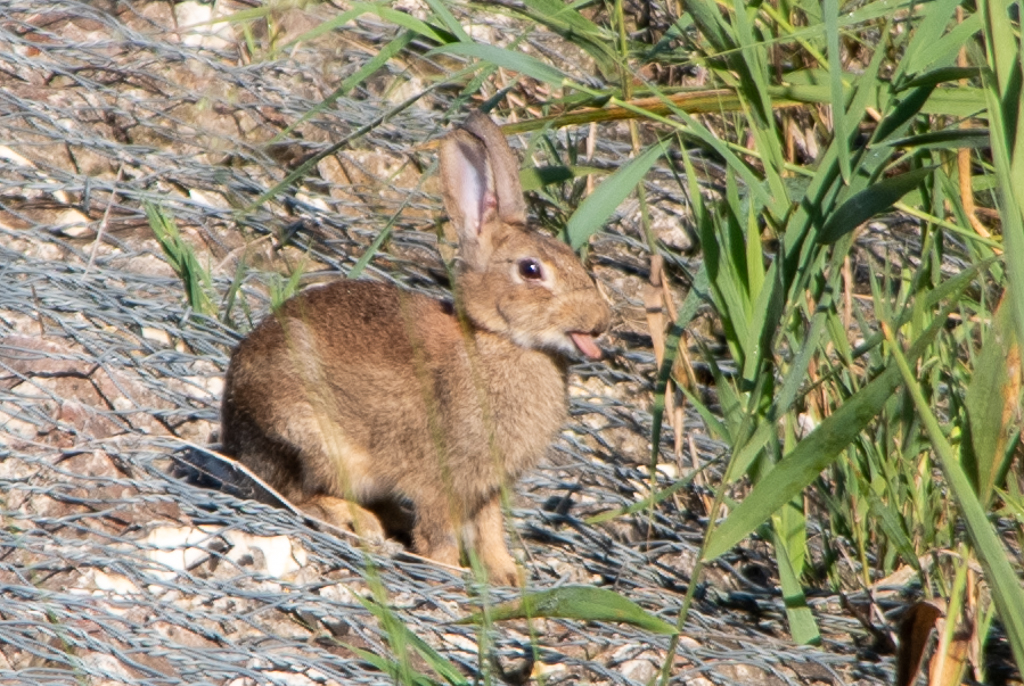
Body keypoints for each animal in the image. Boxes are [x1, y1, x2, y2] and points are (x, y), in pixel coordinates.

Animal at [219, 112, 611, 585]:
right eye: (531, 270)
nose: (600, 321)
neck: (498, 341)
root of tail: (232, 429)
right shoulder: (443, 477)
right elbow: (439, 531)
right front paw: (453, 573)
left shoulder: (485, 488)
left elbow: (490, 530)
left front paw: (507, 577)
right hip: (309, 439)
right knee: (294, 494)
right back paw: (360, 523)